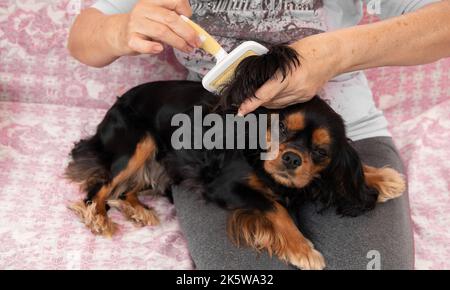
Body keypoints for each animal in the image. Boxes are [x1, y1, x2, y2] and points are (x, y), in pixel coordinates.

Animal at [66, 45, 404, 270]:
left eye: (320, 152)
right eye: (280, 128)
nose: (292, 158)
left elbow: (349, 171)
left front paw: (383, 178)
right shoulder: (226, 186)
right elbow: (275, 207)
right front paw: (302, 249)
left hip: (162, 164)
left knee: (124, 190)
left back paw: (138, 211)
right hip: (140, 144)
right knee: (99, 188)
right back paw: (97, 218)